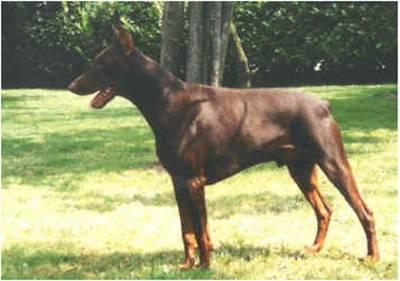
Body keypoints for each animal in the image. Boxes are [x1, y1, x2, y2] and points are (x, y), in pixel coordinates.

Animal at [68, 25, 378, 266]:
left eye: (99, 63)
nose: (71, 86)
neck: (168, 100)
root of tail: (323, 104)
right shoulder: (178, 181)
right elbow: (187, 231)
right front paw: (186, 265)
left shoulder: (194, 181)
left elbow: (201, 231)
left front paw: (205, 266)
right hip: (301, 168)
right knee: (325, 210)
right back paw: (314, 249)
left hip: (333, 162)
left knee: (365, 212)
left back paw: (372, 256)